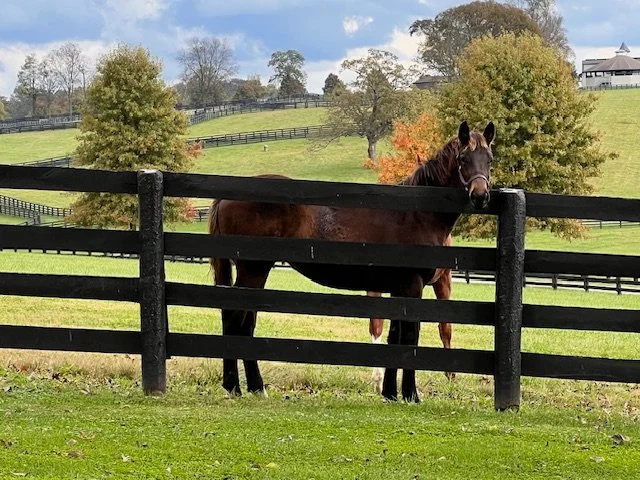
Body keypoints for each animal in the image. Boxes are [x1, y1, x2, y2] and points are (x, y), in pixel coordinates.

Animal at [208, 120, 495, 402]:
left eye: (490, 159)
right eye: (463, 158)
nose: (480, 196)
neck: (417, 214)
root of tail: (226, 196)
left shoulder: (398, 288)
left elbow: (394, 337)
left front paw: (390, 393)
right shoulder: (412, 287)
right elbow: (409, 337)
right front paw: (411, 394)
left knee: (243, 322)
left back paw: (250, 387)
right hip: (253, 270)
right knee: (237, 322)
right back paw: (239, 386)